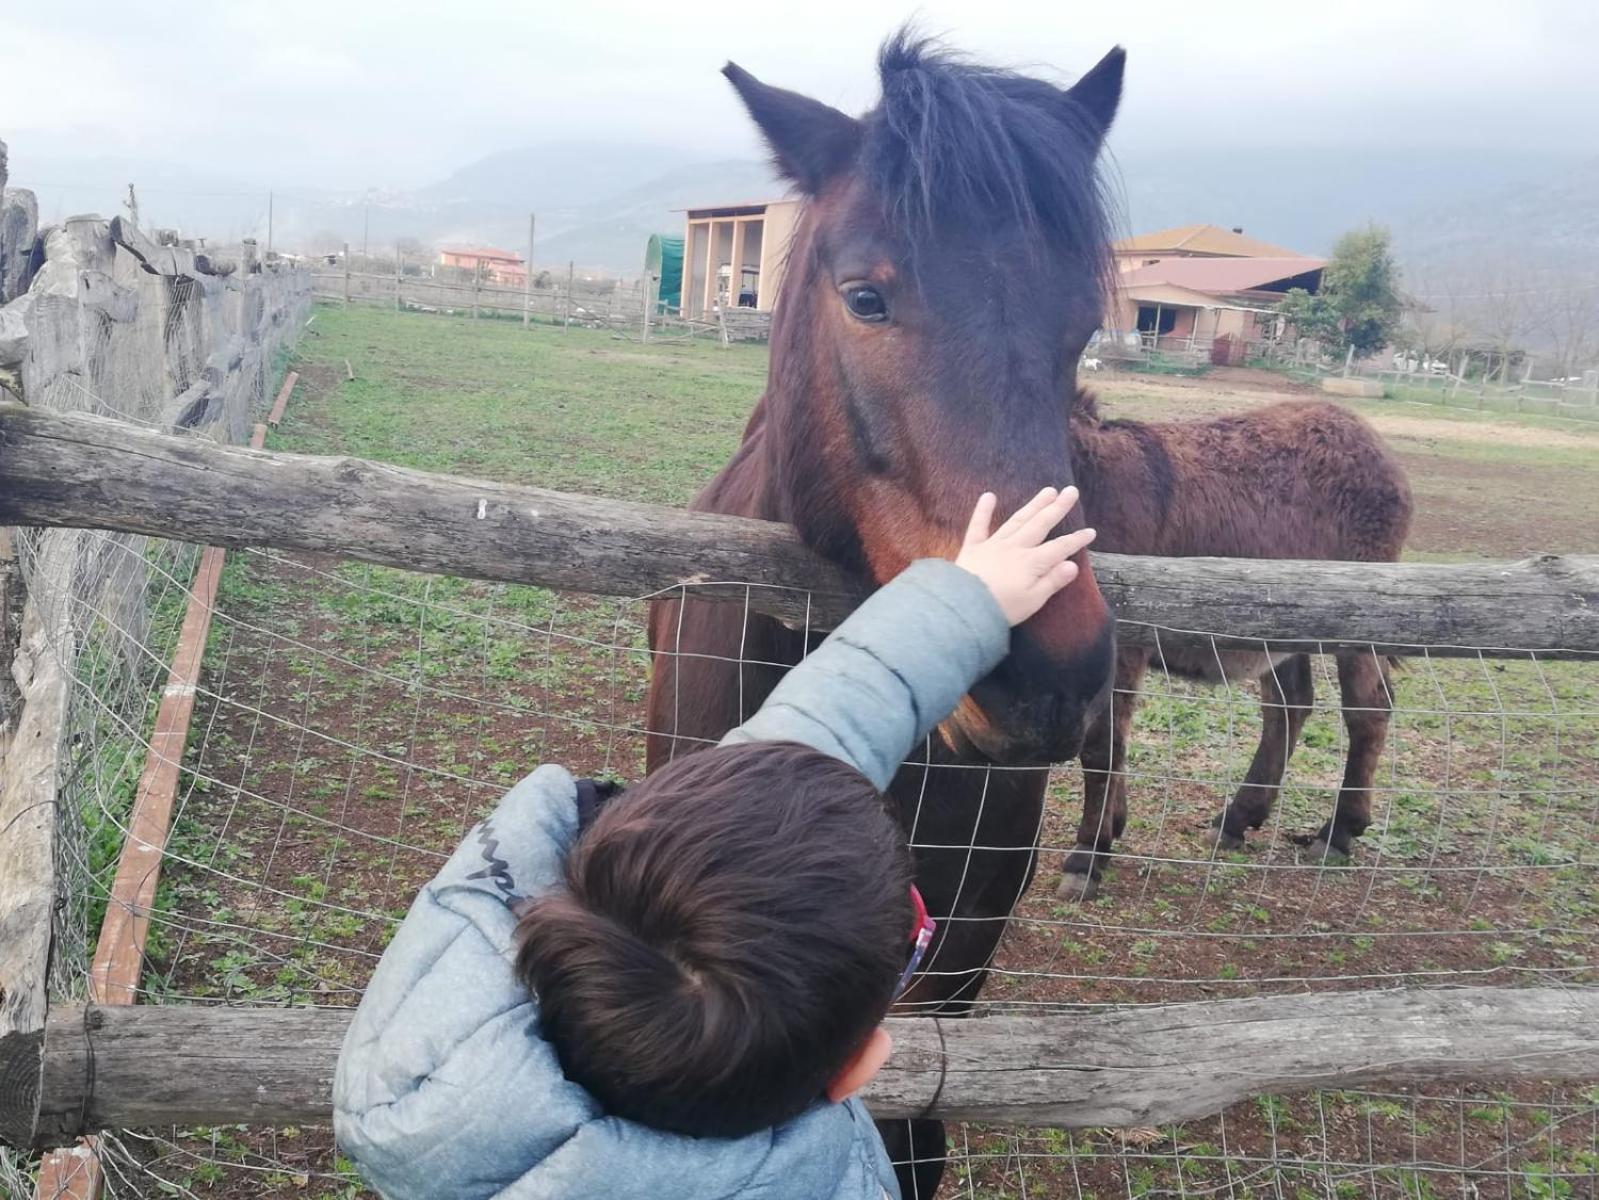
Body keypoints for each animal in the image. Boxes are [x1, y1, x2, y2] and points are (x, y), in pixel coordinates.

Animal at [1061, 396, 1413, 902]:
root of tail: (1360, 429)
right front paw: (1112, 829)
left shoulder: (1123, 641)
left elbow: (1102, 745)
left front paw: (1087, 857)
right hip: (1281, 625)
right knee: (1289, 706)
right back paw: (1237, 819)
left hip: (1363, 616)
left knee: (1369, 710)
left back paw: (1338, 833)